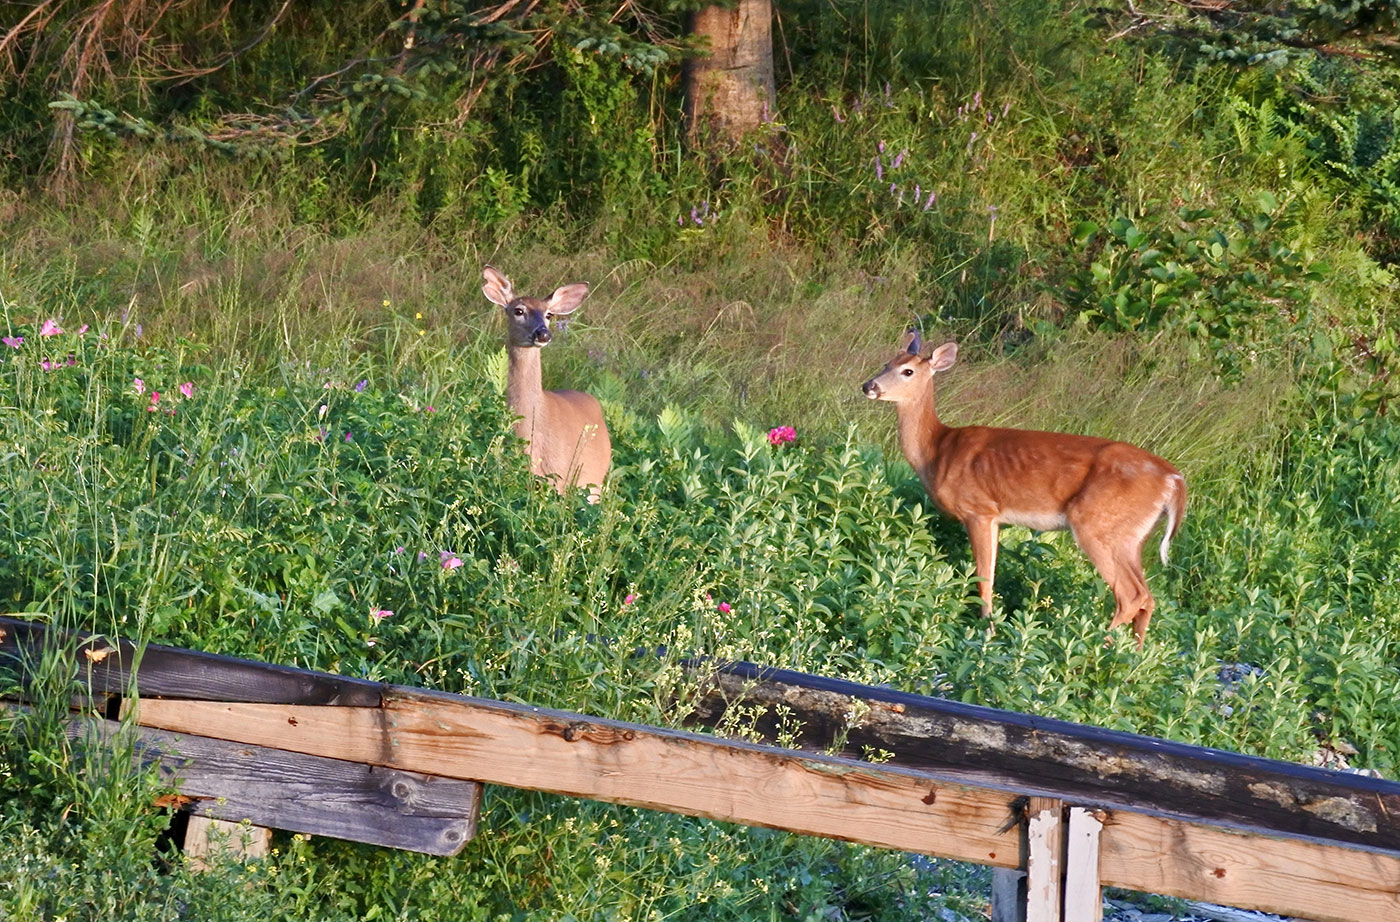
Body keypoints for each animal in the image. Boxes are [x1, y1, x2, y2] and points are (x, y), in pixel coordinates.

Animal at [862, 331, 1181, 649]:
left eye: (908, 371)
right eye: (887, 362)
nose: (869, 386)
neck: (937, 450)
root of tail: (1174, 479)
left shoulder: (978, 509)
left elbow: (984, 579)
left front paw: (987, 634)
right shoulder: (994, 518)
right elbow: (990, 574)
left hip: (1097, 524)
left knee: (1131, 595)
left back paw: (1090, 646)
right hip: (1130, 536)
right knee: (1147, 598)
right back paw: (1131, 656)